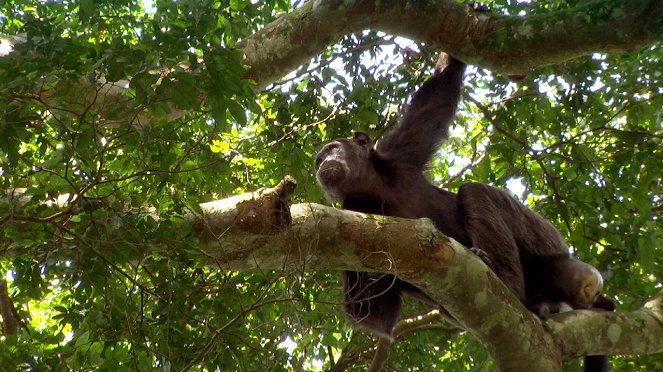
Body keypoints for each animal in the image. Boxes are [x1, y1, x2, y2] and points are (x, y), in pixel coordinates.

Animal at [316, 53, 612, 370]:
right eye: (319, 158)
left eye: (332, 148)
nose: (322, 162)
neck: (372, 188)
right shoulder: (353, 208)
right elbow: (375, 312)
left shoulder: (401, 151)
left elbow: (437, 97)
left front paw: (448, 56)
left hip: (547, 239)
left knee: (476, 192)